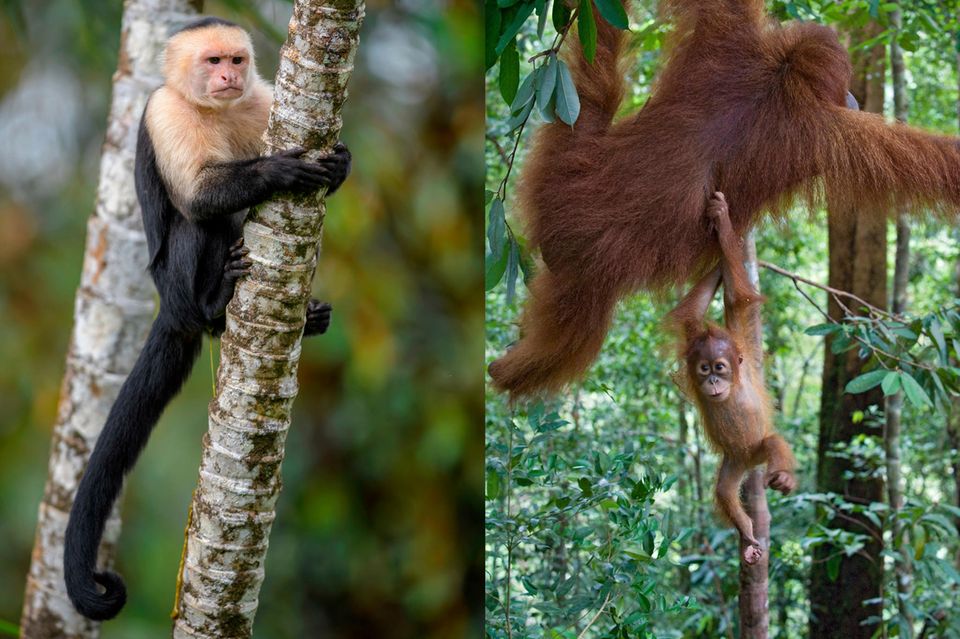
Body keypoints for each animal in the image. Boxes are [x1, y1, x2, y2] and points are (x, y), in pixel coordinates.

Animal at [62, 17, 352, 624]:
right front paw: (276, 169)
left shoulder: (262, 98)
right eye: (212, 60)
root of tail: (170, 309)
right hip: (175, 287)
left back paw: (305, 317)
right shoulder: (164, 112)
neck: (212, 107)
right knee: (200, 225)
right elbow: (198, 196)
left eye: (237, 61)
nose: (226, 77)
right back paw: (218, 303)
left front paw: (339, 162)